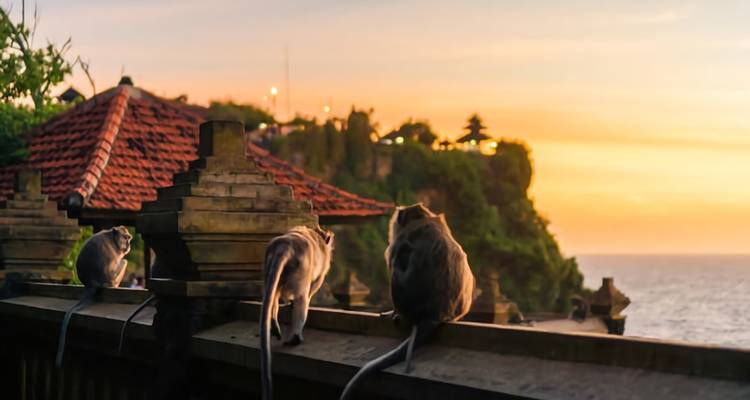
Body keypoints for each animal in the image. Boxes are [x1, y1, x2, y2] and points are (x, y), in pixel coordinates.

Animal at [55, 226, 132, 367]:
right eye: (125, 238)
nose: (128, 245)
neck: (113, 238)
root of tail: (90, 282)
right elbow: (121, 261)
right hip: (110, 280)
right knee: (124, 261)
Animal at [260, 225, 334, 400]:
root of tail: (285, 246)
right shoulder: (319, 271)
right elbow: (314, 287)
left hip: (270, 269)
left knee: (272, 296)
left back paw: (274, 324)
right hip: (301, 272)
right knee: (302, 299)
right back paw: (295, 337)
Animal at [339, 203, 475, 400]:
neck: (423, 218)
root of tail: (436, 314)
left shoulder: (398, 242)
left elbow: (398, 256)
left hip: (408, 304)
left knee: (397, 267)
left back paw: (396, 314)